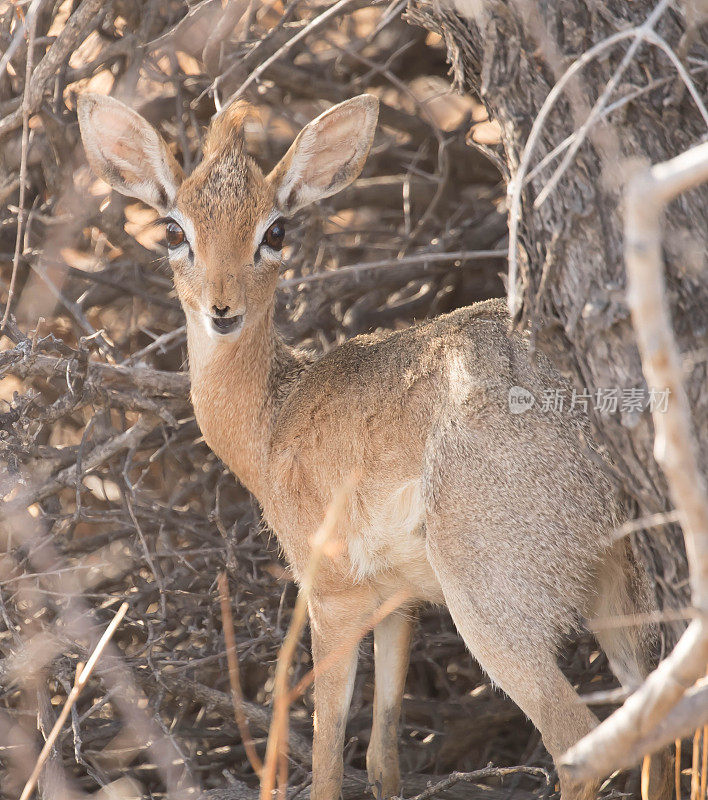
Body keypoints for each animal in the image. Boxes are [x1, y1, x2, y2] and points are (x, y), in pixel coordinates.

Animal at [79, 95, 668, 800]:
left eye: (276, 231)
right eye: (173, 230)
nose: (223, 310)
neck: (273, 417)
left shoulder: (333, 597)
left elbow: (329, 752)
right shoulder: (397, 603)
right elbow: (384, 751)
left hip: (495, 604)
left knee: (577, 739)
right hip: (619, 593)